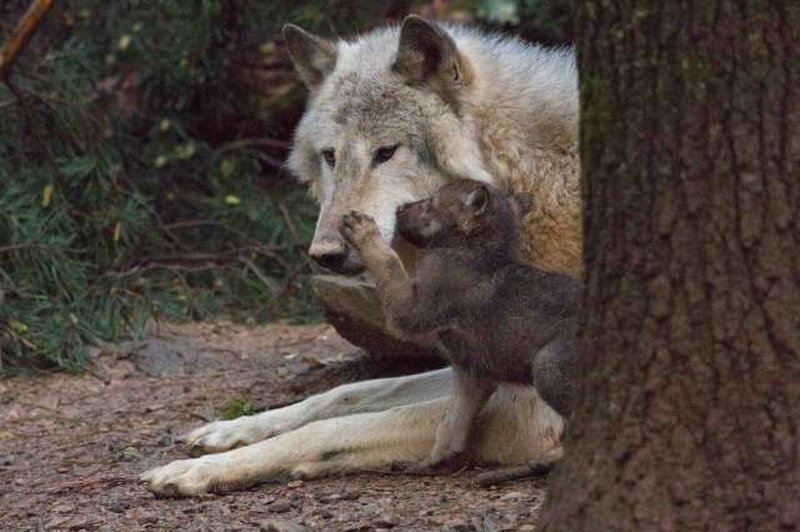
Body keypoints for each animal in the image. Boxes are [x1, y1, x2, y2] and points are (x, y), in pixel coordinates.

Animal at [144, 14, 580, 496]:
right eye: (330, 156)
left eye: (386, 153)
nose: (324, 253)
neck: (524, 180)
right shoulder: (470, 365)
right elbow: (345, 394)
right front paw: (231, 430)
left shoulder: (527, 410)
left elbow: (335, 427)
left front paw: (203, 470)